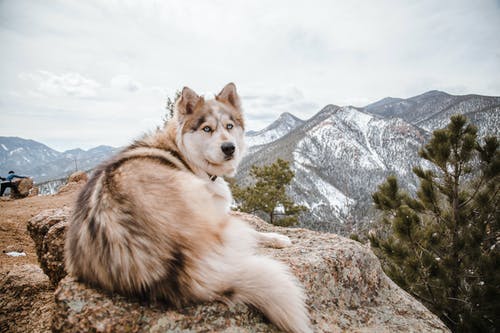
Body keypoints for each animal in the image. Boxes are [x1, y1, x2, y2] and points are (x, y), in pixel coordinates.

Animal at [64, 83, 310, 332]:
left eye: (229, 126)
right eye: (207, 128)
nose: (229, 147)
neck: (183, 152)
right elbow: (253, 227)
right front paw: (277, 237)